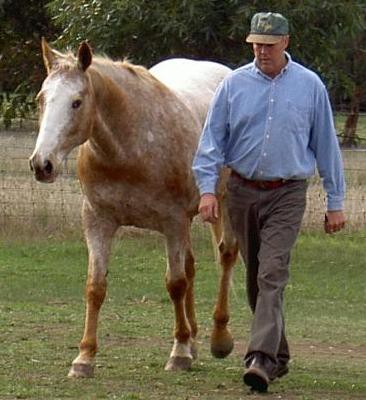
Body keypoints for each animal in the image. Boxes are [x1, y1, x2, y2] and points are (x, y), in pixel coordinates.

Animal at [29, 38, 240, 378]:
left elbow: (175, 284)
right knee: (192, 266)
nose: (42, 164)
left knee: (226, 254)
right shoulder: (98, 221)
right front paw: (84, 358)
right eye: (42, 99)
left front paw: (179, 353)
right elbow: (95, 287)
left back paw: (219, 339)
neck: (130, 148)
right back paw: (194, 339)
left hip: (222, 203)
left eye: (76, 102)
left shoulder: (172, 221)